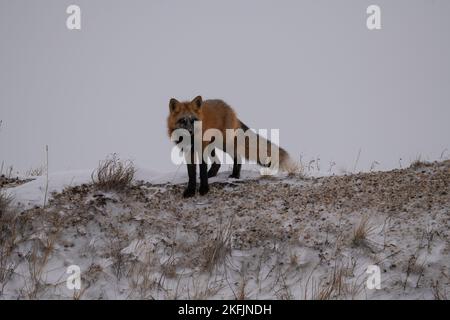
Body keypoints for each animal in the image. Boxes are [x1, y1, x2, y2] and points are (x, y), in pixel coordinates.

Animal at [165, 95, 296, 198]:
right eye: (182, 121)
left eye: (193, 120)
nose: (190, 131)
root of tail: (228, 107)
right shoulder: (188, 152)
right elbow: (191, 174)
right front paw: (190, 191)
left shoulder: (201, 150)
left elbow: (201, 172)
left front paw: (204, 189)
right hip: (212, 146)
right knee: (217, 163)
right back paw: (212, 174)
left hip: (224, 144)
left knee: (238, 158)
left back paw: (235, 176)